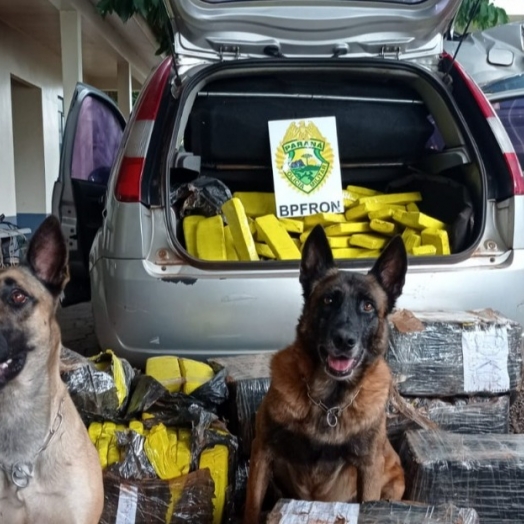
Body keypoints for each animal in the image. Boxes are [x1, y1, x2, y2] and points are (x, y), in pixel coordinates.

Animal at [244, 223, 408, 520]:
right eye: (329, 300)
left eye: (368, 306)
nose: (344, 341)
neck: (329, 401)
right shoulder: (262, 450)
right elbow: (251, 507)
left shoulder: (368, 468)